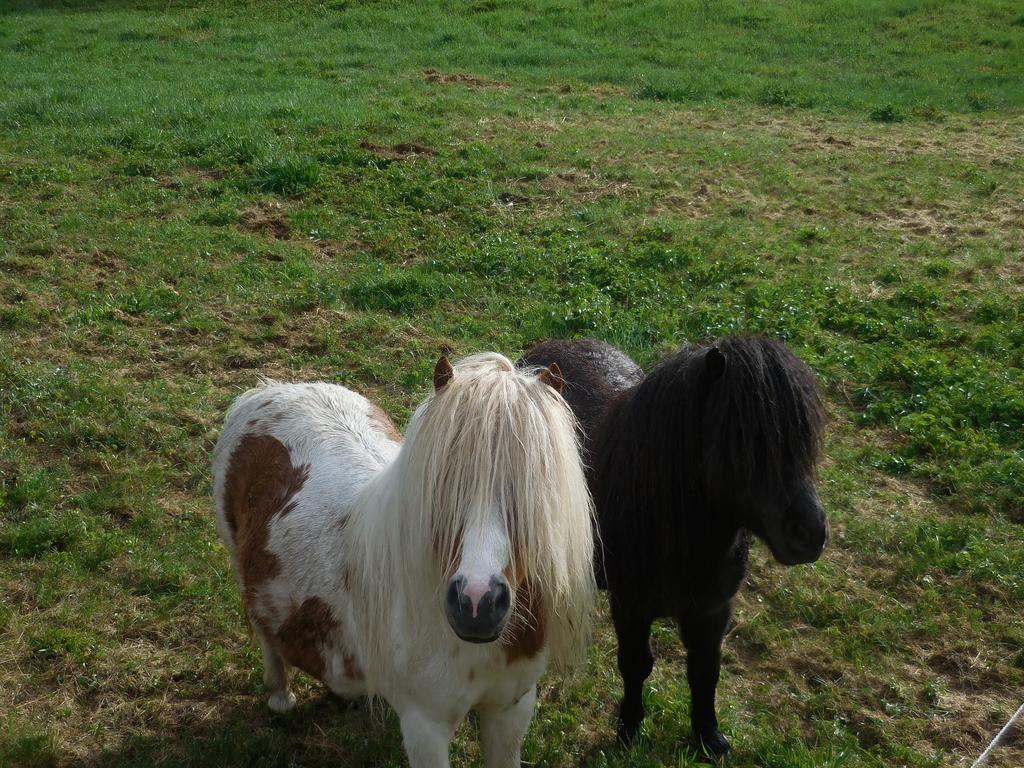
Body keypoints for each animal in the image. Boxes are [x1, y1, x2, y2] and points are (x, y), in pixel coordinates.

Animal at [211, 356, 598, 768]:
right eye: (442, 481)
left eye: (533, 486)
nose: (476, 605)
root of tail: (272, 390)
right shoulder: (425, 727)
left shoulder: (511, 711)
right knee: (265, 633)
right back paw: (281, 696)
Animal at [524, 335, 827, 757]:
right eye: (741, 438)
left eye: (802, 436)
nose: (810, 535)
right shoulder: (631, 607)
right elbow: (635, 664)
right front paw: (629, 729)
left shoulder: (713, 610)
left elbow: (704, 670)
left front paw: (708, 735)